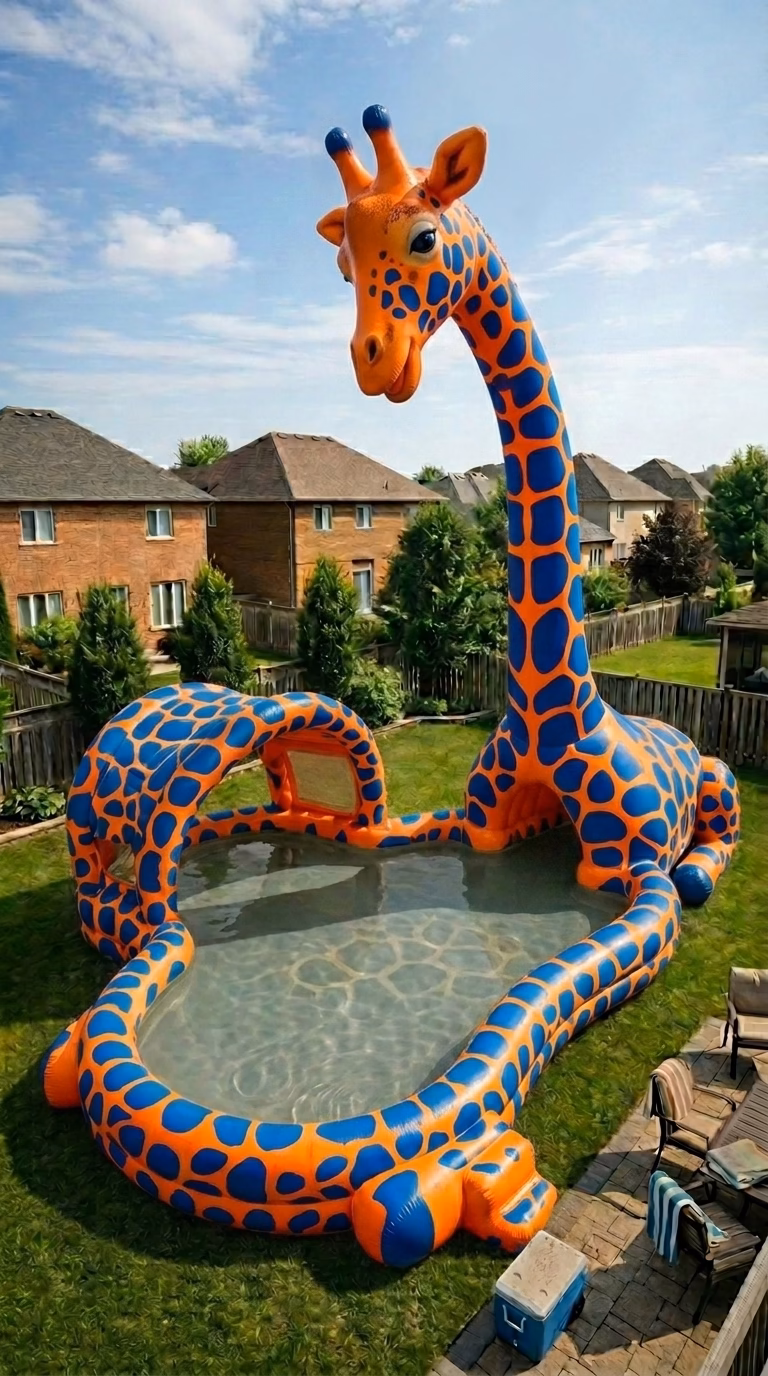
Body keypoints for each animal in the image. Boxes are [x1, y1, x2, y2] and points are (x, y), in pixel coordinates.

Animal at [317, 104, 740, 907]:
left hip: (719, 774)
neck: (550, 717)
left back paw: (700, 865)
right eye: (343, 267)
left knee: (718, 832)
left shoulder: (623, 869)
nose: (373, 360)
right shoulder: (482, 830)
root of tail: (673, 731)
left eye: (424, 237)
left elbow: (650, 899)